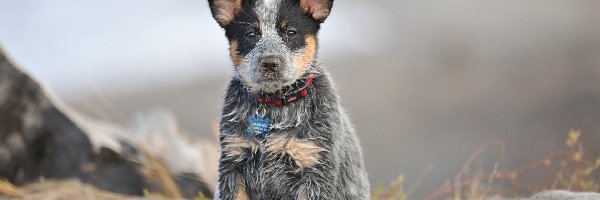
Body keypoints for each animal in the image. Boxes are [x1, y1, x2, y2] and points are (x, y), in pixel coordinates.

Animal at [211, 0, 370, 198]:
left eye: (291, 32)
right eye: (250, 34)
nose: (270, 63)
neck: (274, 105)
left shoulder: (314, 164)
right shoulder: (233, 160)